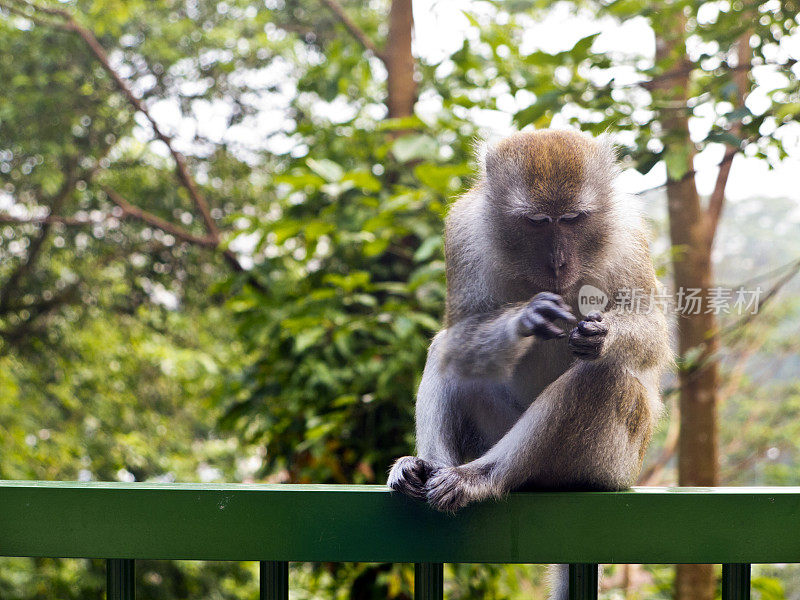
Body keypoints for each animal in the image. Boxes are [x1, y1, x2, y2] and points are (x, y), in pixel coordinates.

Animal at [386, 129, 668, 596]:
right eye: (537, 222)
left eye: (572, 218)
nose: (557, 261)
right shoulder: (464, 231)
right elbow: (460, 331)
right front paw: (526, 319)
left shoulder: (629, 234)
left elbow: (652, 333)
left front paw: (602, 336)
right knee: (449, 351)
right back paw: (426, 468)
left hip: (607, 465)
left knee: (603, 377)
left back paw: (482, 477)